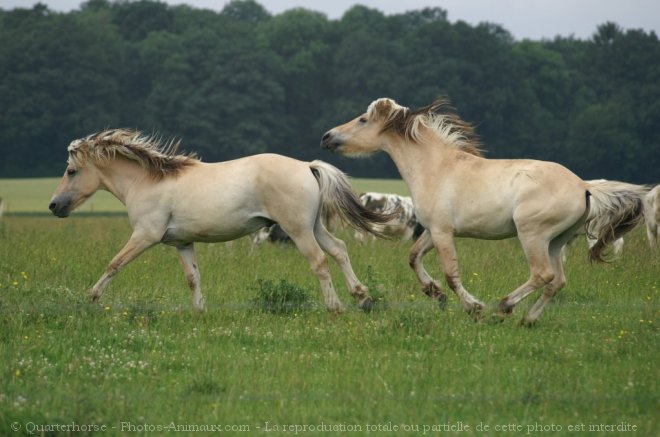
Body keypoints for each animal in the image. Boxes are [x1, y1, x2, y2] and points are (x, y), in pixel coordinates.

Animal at [51, 127, 394, 312]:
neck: (147, 182)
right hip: (314, 226)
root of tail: (306, 165)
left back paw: (335, 306)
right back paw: (362, 297)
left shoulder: (145, 236)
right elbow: (193, 277)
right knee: (338, 250)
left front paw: (92, 297)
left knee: (320, 262)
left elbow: (115, 264)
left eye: (71, 171)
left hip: (298, 230)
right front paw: (199, 311)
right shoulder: (182, 242)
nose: (54, 206)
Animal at [322, 98, 648, 324]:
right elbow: (414, 258)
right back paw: (528, 320)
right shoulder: (433, 230)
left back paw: (503, 307)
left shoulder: (442, 232)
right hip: (556, 241)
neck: (435, 167)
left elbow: (451, 274)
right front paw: (435, 294)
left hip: (533, 235)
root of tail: (583, 186)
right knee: (557, 281)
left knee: (542, 275)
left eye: (363, 120)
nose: (327, 137)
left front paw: (473, 307)